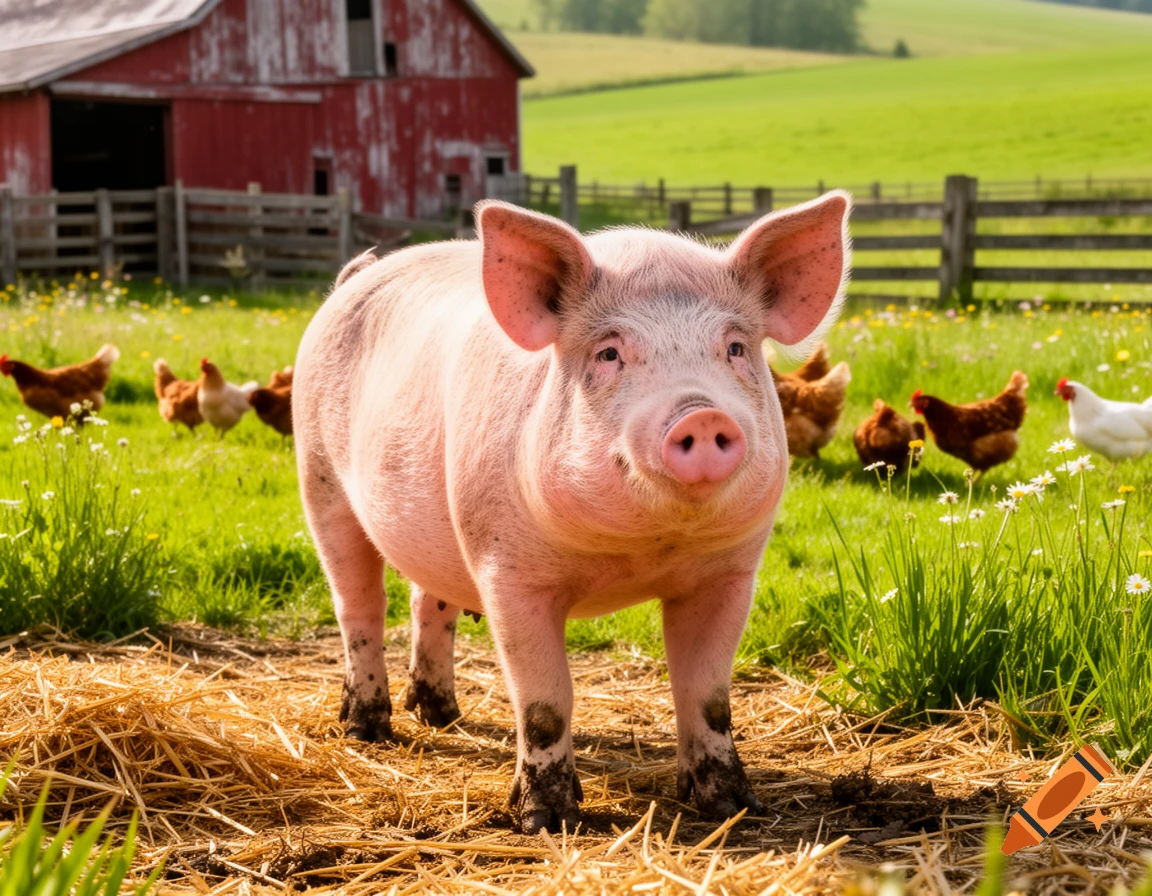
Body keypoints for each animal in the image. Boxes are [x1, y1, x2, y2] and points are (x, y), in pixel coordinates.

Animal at [294, 192, 852, 833]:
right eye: (608, 352)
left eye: (735, 348)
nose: (702, 414)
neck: (637, 554)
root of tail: (354, 278)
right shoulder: (508, 573)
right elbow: (543, 703)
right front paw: (547, 820)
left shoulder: (729, 575)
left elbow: (709, 696)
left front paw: (733, 807)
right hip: (320, 481)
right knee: (358, 606)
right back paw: (368, 729)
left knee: (426, 600)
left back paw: (441, 715)